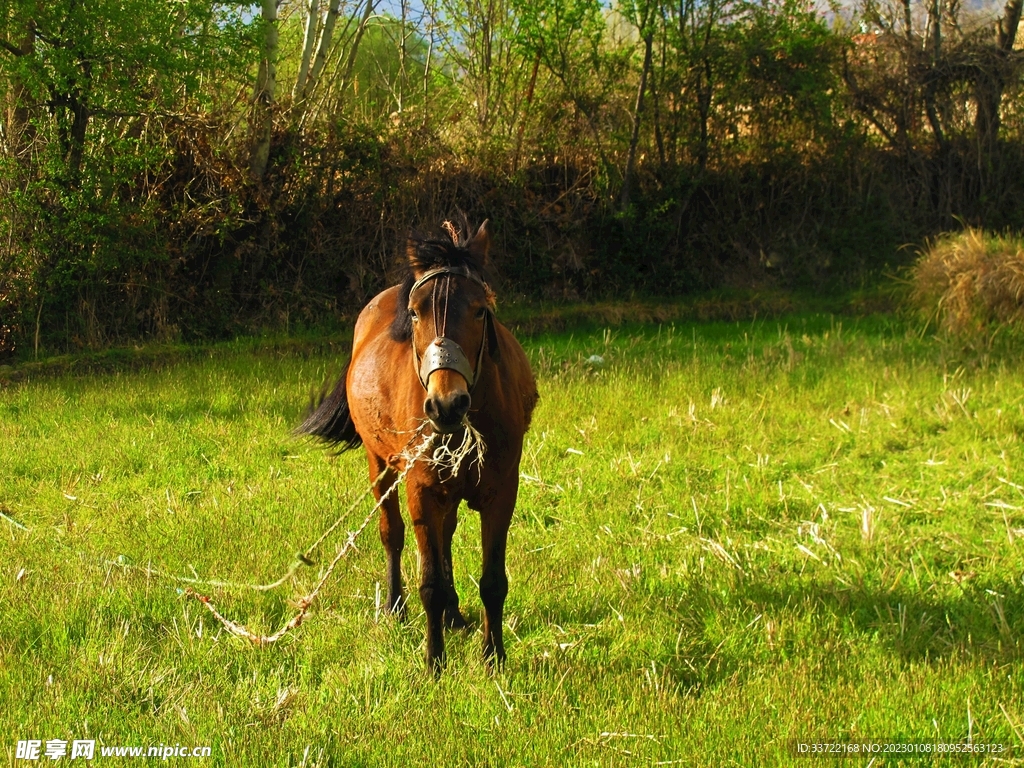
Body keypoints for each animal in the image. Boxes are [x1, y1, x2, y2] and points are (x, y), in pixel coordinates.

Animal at [296, 219, 538, 673]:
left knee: (446, 536)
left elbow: (493, 581)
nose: (446, 404)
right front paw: (434, 661)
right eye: (415, 312)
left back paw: (455, 615)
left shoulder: (501, 493)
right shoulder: (421, 491)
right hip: (380, 466)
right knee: (392, 534)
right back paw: (396, 605)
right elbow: (429, 584)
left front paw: (493, 657)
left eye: (480, 309)